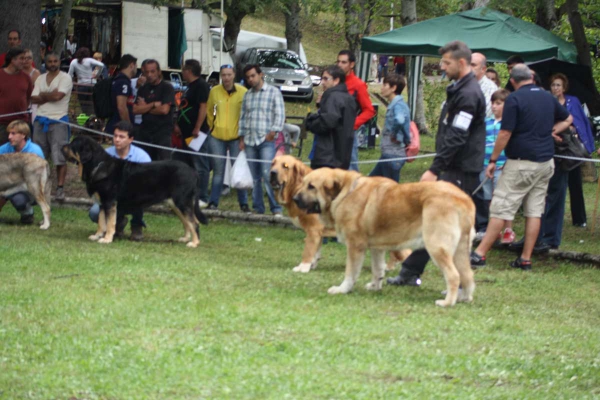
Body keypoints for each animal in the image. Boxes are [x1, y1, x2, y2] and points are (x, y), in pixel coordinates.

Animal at [61, 136, 206, 245]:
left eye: (73, 144)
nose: (62, 146)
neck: (97, 165)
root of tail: (193, 172)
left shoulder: (110, 202)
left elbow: (110, 223)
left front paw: (107, 239)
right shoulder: (102, 203)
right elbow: (101, 223)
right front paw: (97, 236)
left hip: (182, 202)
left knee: (194, 222)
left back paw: (194, 243)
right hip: (175, 204)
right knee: (187, 222)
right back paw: (186, 238)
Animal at [270, 155, 410, 274]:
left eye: (285, 166)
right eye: (273, 163)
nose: (272, 173)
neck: (297, 187)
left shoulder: (313, 230)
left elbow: (308, 250)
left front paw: (303, 267)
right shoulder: (319, 232)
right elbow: (316, 251)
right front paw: (312, 265)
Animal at [292, 167, 476, 308]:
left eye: (311, 187)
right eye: (303, 183)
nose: (294, 199)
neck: (344, 193)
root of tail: (464, 199)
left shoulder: (355, 246)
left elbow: (350, 273)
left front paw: (342, 289)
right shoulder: (376, 248)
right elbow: (377, 269)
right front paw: (375, 286)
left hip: (436, 247)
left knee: (454, 276)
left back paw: (447, 302)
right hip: (460, 250)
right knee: (467, 275)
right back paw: (464, 298)